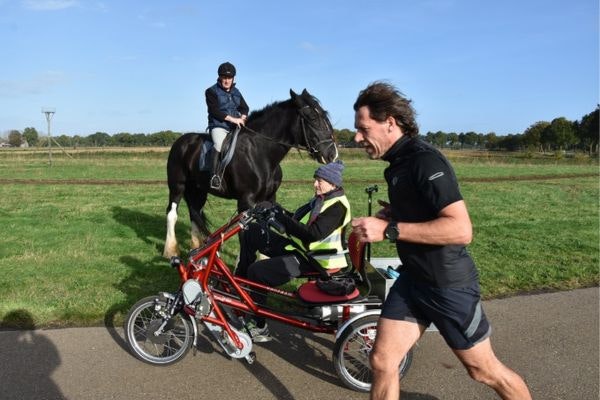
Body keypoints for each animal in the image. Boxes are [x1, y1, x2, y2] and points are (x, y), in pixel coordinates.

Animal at [164, 89, 338, 258]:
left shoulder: (269, 199)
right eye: (312, 118)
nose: (332, 154)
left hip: (198, 190)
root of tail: (181, 141)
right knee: (172, 213)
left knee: (194, 213)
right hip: (177, 186)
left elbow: (266, 227)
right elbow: (244, 231)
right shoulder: (246, 201)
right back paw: (171, 251)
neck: (260, 152)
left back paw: (198, 248)